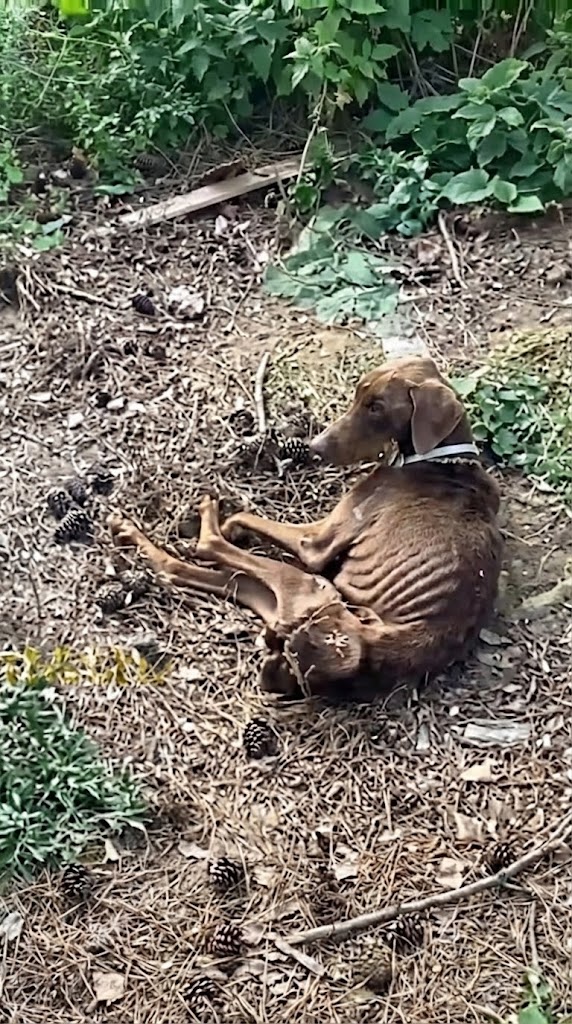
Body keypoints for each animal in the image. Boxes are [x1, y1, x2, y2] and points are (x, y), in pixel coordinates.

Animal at [109, 356, 502, 699]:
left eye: (377, 407)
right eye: (358, 395)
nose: (315, 448)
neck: (445, 459)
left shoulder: (316, 542)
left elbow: (246, 518)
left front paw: (231, 523)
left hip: (305, 583)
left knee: (207, 548)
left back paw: (199, 518)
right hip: (282, 600)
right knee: (185, 571)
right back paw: (129, 531)